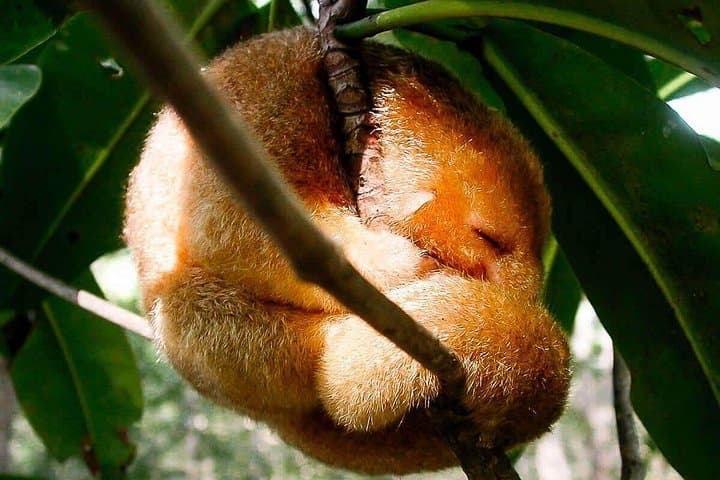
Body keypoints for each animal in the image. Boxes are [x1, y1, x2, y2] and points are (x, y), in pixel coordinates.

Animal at [123, 27, 571, 474]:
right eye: (487, 238)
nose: (523, 293)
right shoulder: (270, 102)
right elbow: (225, 220)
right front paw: (394, 265)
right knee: (184, 308)